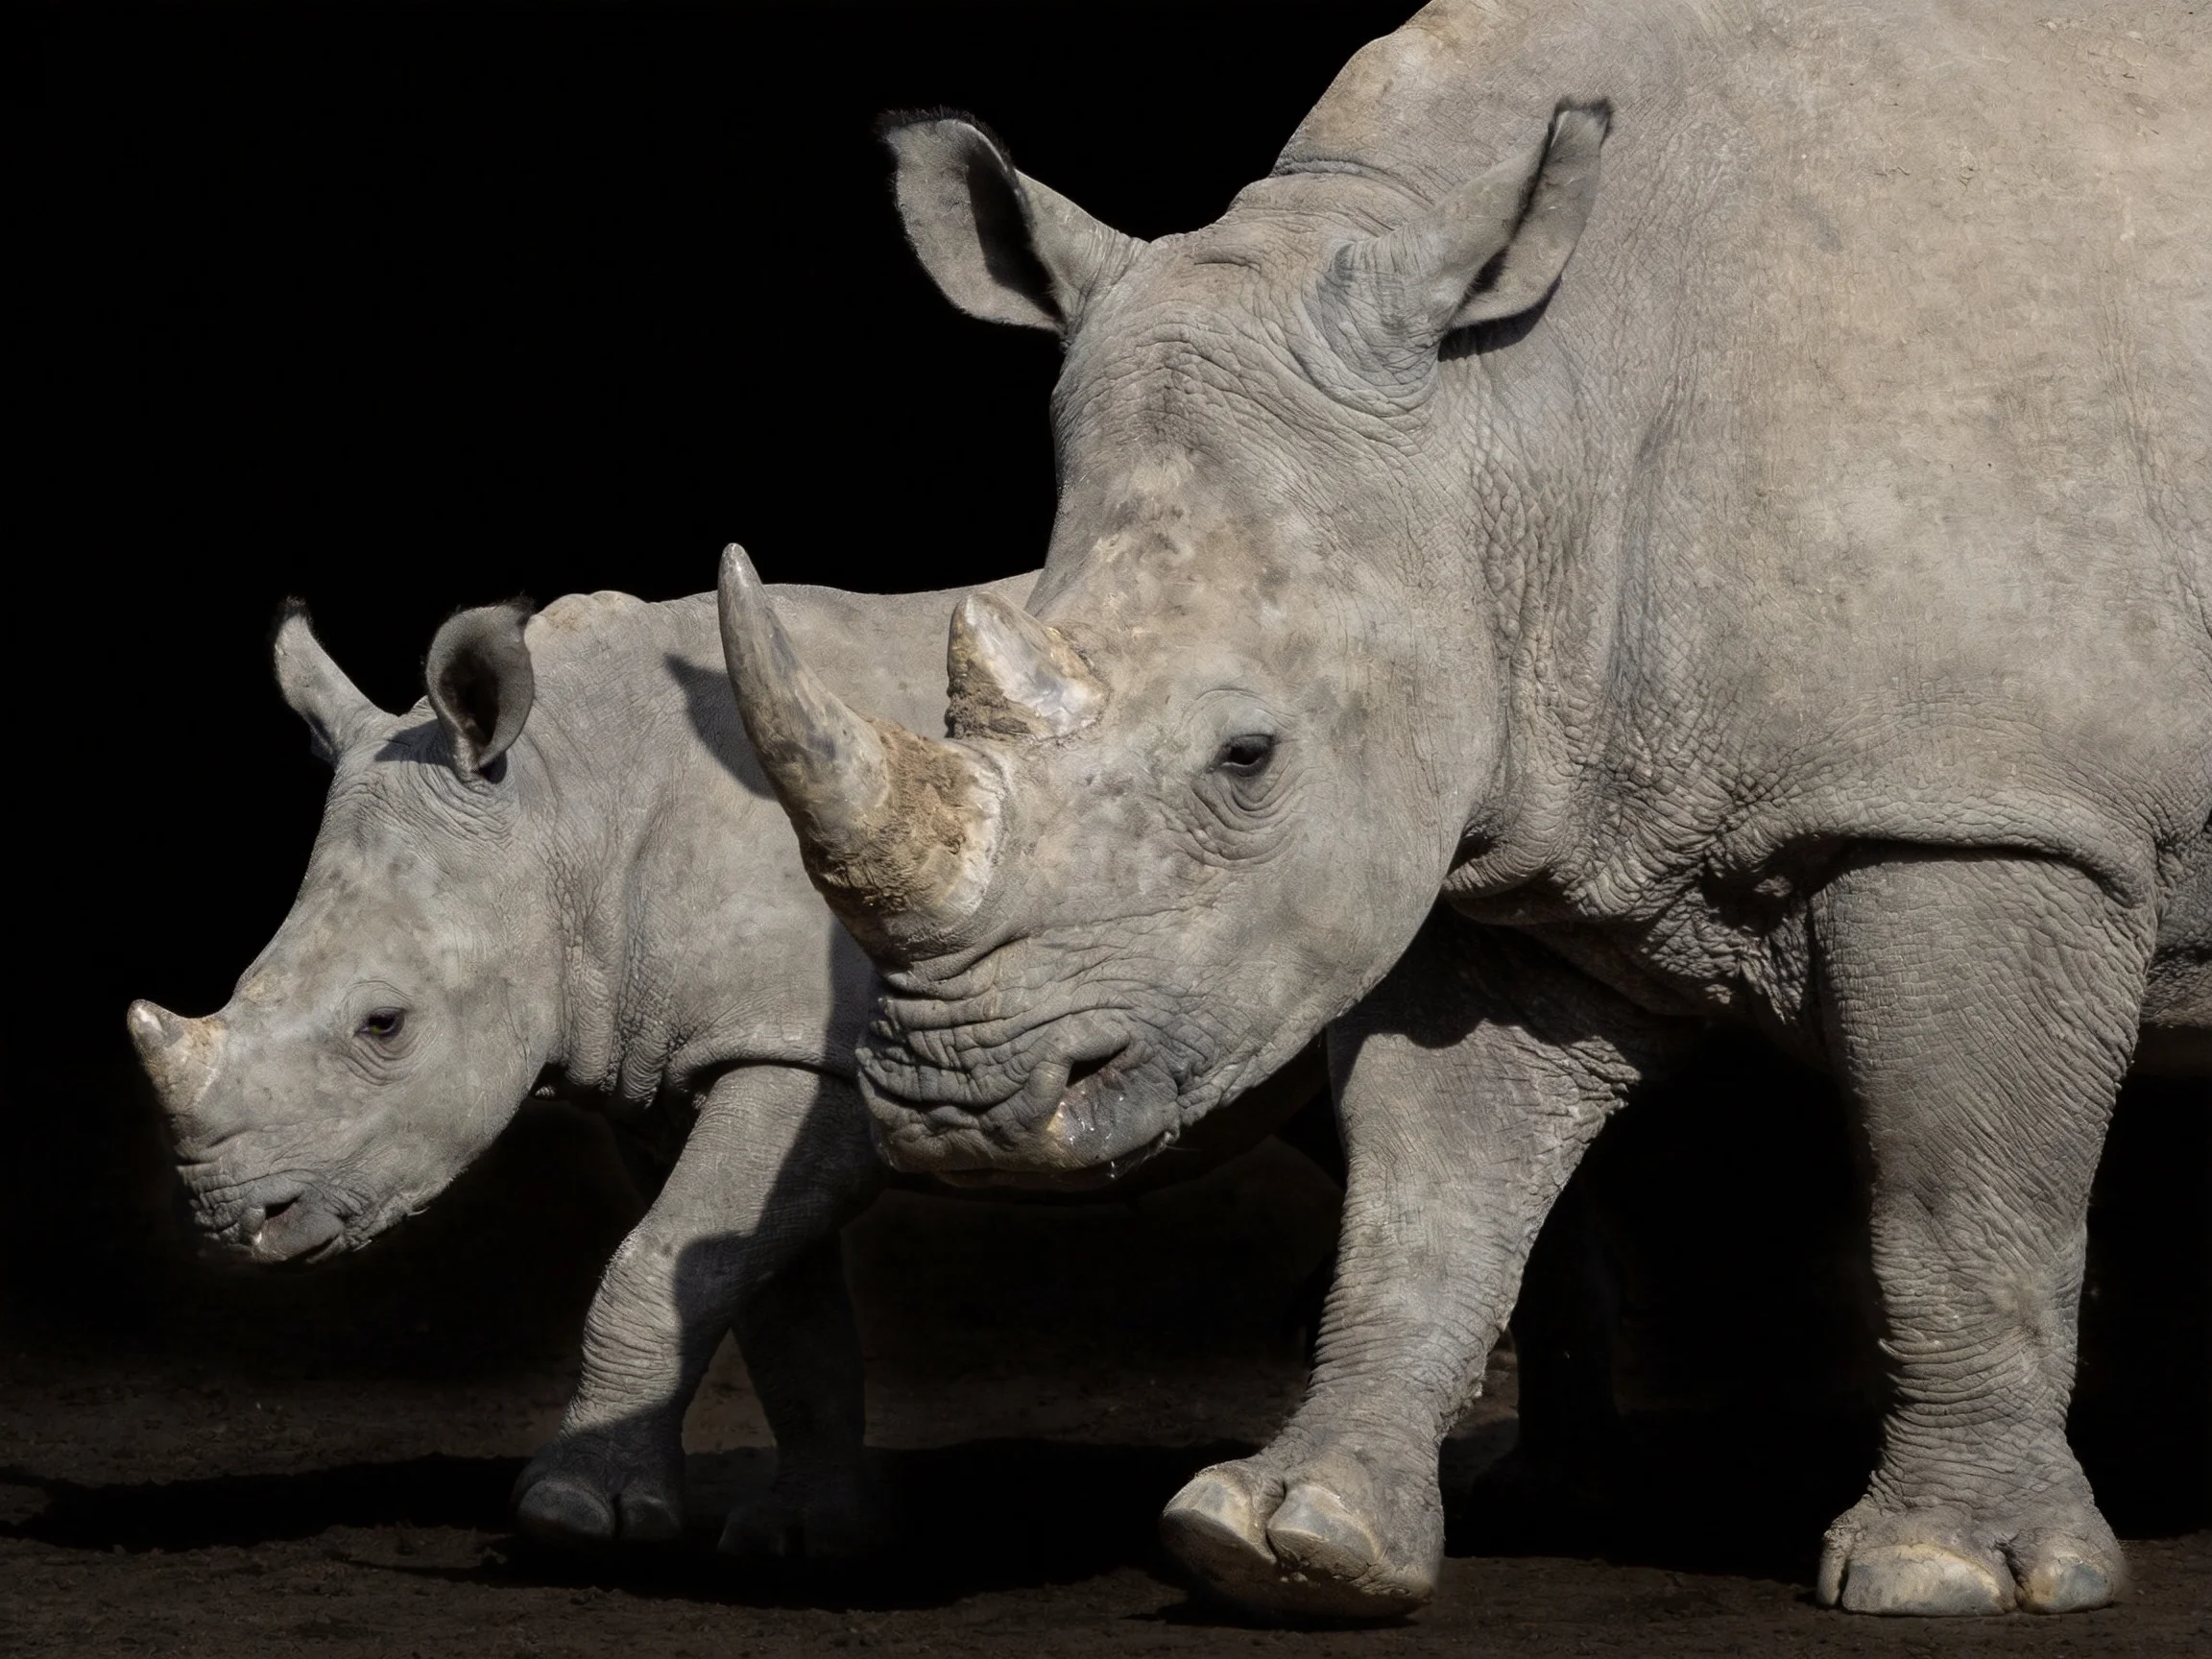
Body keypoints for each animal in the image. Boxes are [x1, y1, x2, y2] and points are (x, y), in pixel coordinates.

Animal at [126, 579, 1324, 1556]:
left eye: (384, 1026)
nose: (233, 1222)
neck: (568, 805)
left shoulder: (811, 1055)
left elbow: (651, 1267)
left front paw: (572, 1516)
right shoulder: (682, 1060)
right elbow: (764, 1302)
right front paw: (804, 1535)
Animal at [715, 0, 2210, 1621]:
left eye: (1248, 758)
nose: (953, 1106)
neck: (1525, 415)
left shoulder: (1987, 806)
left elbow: (1957, 1201)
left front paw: (1949, 1573)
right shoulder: (1519, 822)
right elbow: (1428, 1198)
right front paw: (1287, 1536)